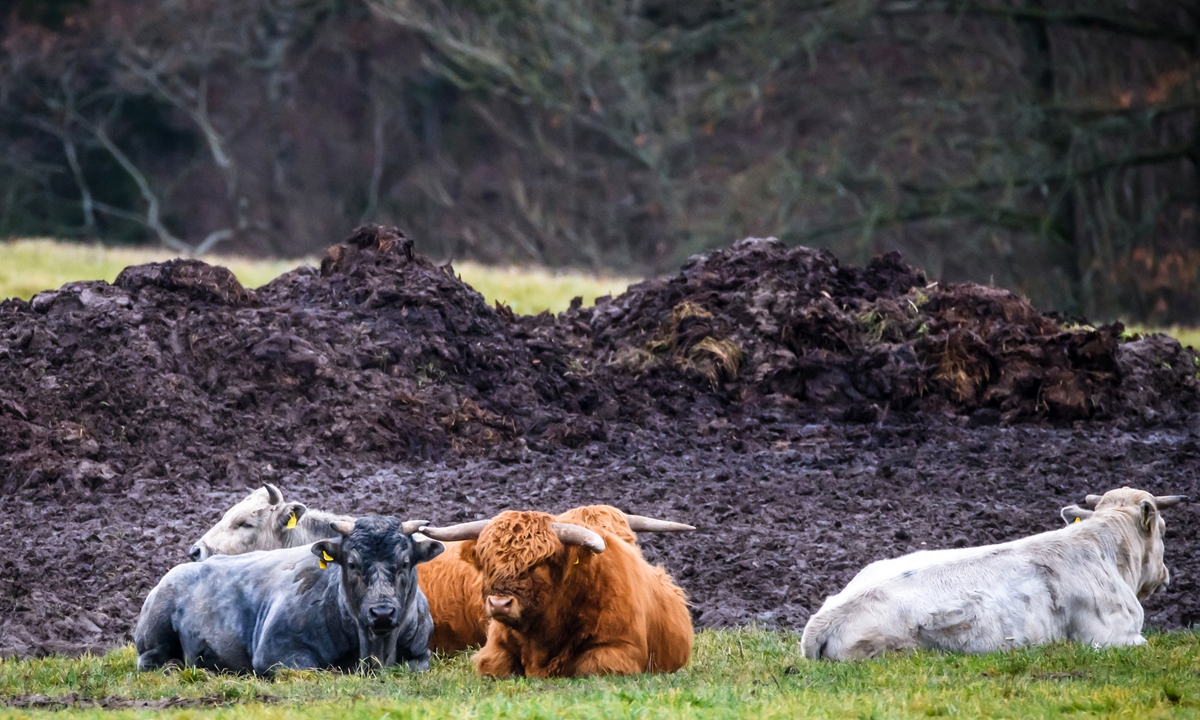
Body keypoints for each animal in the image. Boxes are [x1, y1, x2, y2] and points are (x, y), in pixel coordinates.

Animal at [136, 516, 444, 674]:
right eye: (352, 563)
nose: (382, 612)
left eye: (405, 562)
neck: (375, 650)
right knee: (151, 660)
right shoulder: (277, 653)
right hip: (154, 636)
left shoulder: (421, 653)